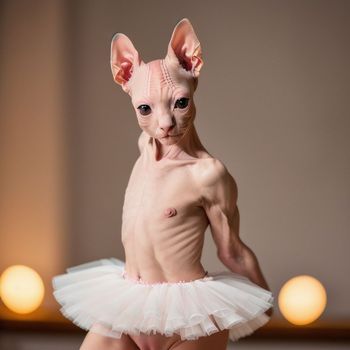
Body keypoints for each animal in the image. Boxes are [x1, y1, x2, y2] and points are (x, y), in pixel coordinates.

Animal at [53, 17, 274, 350]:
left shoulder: (218, 179)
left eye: (181, 103)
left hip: (201, 335)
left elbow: (232, 250)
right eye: (144, 108)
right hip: (116, 331)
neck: (169, 156)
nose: (167, 126)